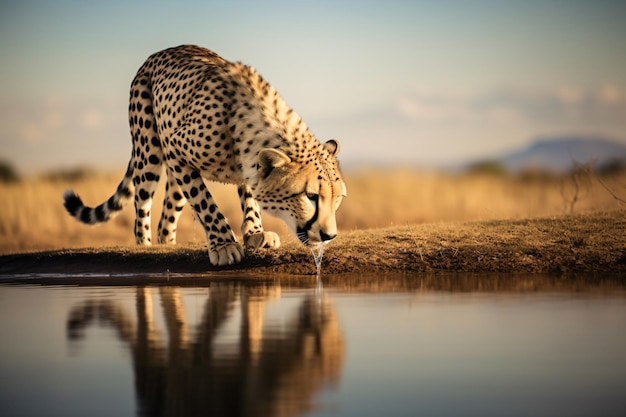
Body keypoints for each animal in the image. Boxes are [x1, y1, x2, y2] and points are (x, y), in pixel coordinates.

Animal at [63, 45, 346, 264]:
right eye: (310, 196)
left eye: (338, 199)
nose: (329, 235)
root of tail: (159, 53)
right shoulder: (175, 147)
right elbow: (205, 203)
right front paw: (224, 245)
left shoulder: (249, 166)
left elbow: (250, 199)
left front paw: (255, 232)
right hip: (149, 153)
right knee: (142, 208)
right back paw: (145, 246)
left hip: (174, 178)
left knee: (166, 220)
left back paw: (167, 246)